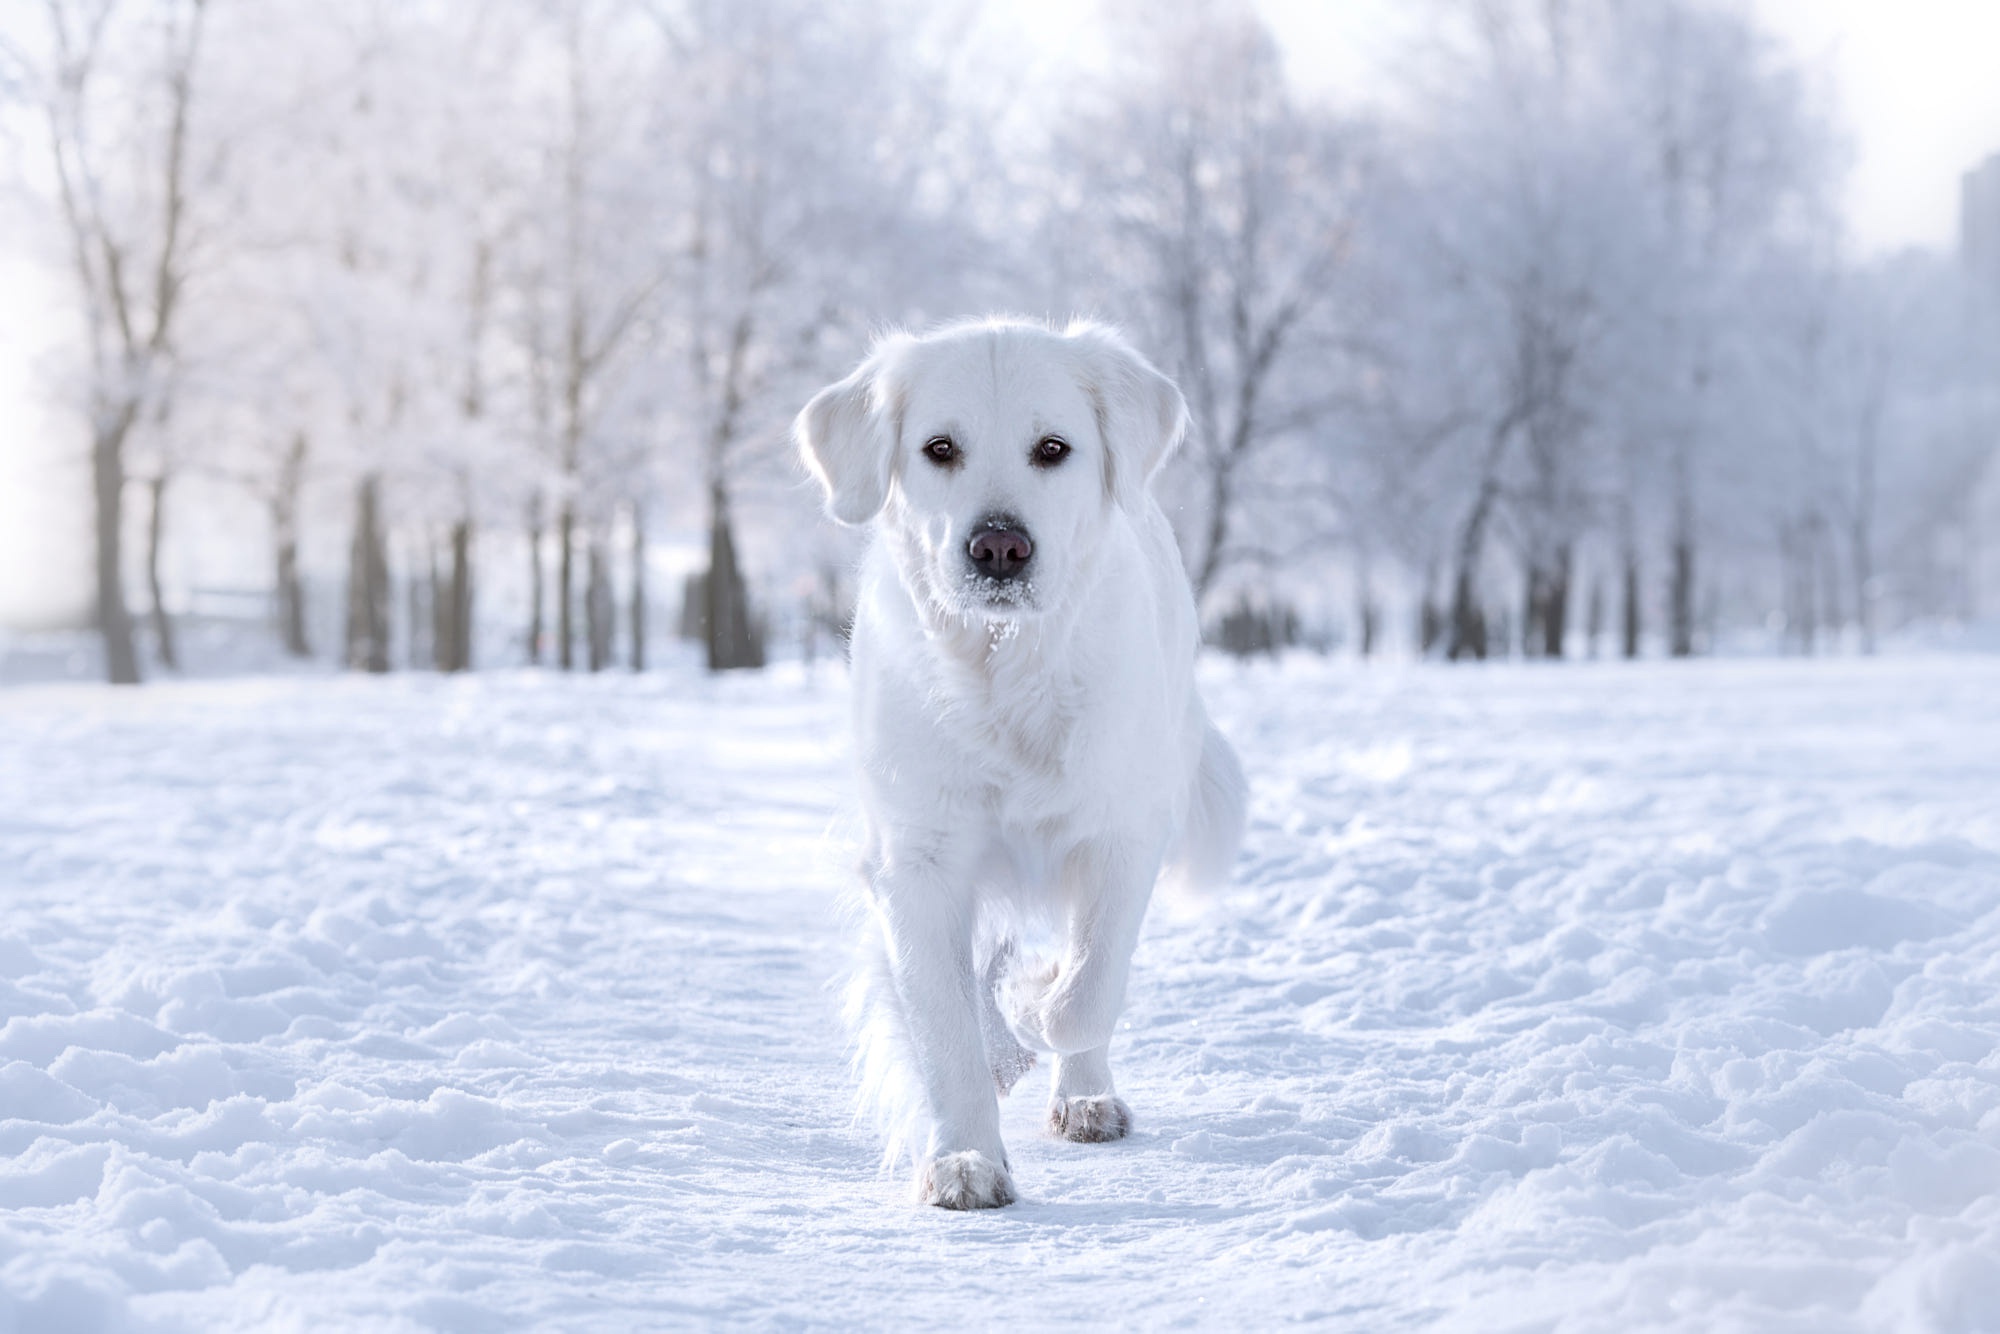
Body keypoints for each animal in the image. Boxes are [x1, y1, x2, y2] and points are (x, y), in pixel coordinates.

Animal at [788, 316, 1240, 1208]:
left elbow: (1089, 989)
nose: (999, 546)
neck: (1006, 671)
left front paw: (1038, 1012)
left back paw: (1083, 1093)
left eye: (1053, 448)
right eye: (939, 448)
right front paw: (964, 1157)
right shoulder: (919, 858)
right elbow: (943, 1025)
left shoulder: (1125, 832)